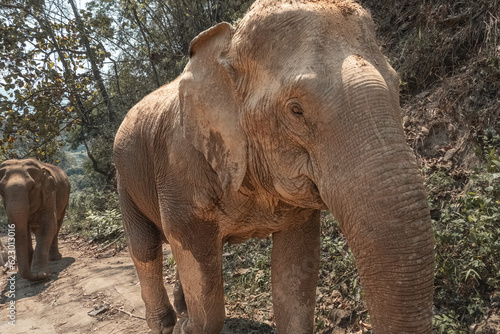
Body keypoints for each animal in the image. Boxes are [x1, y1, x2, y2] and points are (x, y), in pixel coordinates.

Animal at [113, 0, 434, 334]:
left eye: (399, 87)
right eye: (296, 110)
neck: (227, 48)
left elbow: (294, 279)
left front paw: (187, 323)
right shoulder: (181, 169)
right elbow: (208, 308)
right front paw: (186, 327)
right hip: (124, 178)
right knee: (145, 248)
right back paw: (164, 324)